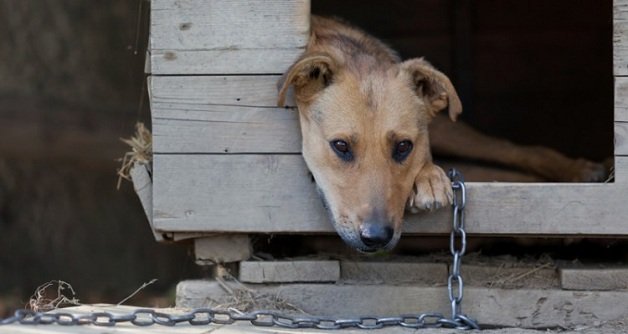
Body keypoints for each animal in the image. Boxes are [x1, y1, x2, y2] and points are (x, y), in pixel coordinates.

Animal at [276, 15, 608, 250]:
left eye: (403, 146)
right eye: (341, 146)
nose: (377, 237)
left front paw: (429, 177)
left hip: (453, 130)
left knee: (514, 151)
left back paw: (582, 173)